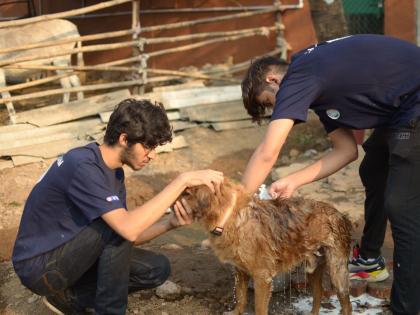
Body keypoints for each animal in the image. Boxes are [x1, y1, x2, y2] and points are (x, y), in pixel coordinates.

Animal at [183, 180, 352, 315]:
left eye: (186, 193)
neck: (231, 217)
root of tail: (340, 215)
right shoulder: (241, 271)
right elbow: (240, 297)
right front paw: (235, 312)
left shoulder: (262, 277)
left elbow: (259, 308)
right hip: (313, 269)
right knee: (318, 295)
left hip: (337, 272)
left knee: (346, 305)